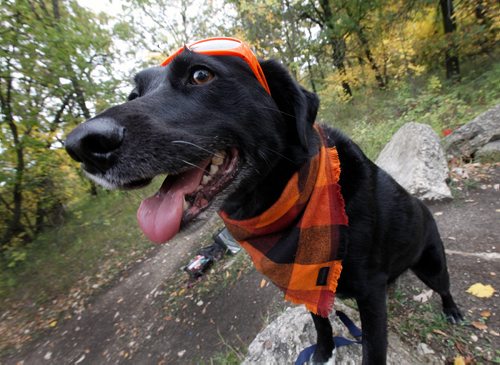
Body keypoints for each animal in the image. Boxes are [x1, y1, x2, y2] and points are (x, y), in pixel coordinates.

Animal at [65, 49, 460, 362]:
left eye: (201, 74)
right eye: (134, 93)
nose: (80, 145)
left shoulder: (370, 297)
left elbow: (373, 350)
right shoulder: (306, 283)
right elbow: (320, 322)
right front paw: (322, 352)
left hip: (432, 263)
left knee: (443, 287)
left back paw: (453, 311)